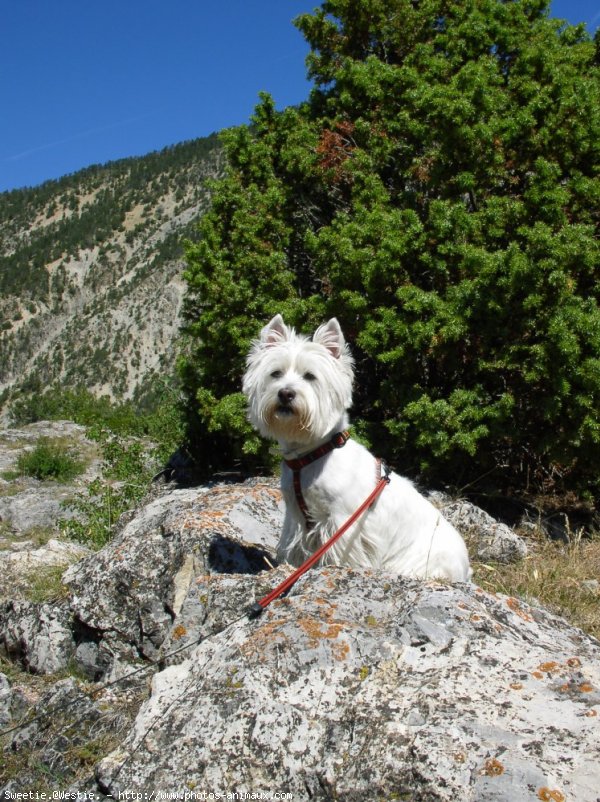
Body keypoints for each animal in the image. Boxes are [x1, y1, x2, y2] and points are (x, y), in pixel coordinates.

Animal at [241, 314, 472, 580]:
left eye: (310, 376)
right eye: (275, 373)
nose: (286, 393)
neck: (310, 455)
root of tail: (467, 568)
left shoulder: (343, 520)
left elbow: (339, 551)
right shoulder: (296, 516)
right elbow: (295, 545)